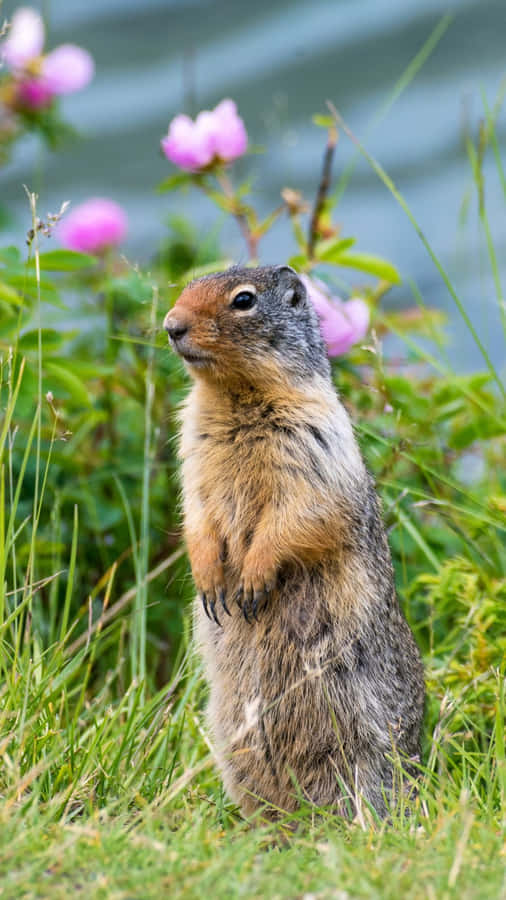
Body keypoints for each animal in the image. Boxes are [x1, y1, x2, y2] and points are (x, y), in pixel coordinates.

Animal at [163, 264, 425, 820]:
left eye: (243, 300)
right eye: (188, 285)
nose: (171, 326)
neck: (235, 396)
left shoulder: (314, 444)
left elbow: (298, 515)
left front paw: (251, 581)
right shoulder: (192, 451)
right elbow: (197, 514)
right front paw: (209, 580)